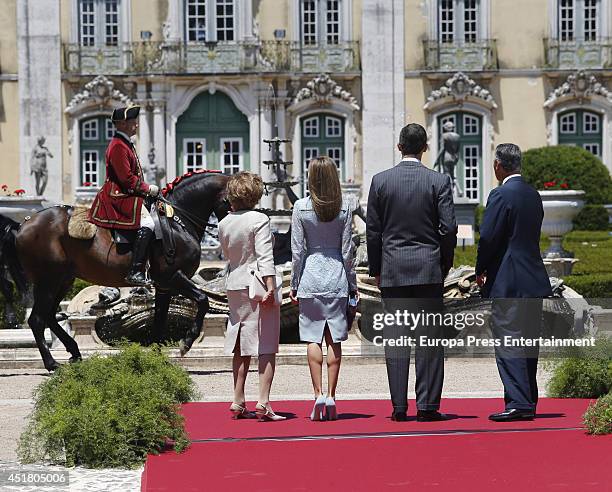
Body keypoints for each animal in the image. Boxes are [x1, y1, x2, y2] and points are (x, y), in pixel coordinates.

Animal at [0, 171, 231, 370]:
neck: (176, 223)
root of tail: (23, 225)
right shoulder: (172, 277)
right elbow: (202, 299)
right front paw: (187, 341)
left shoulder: (164, 286)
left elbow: (160, 320)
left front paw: (157, 357)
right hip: (48, 280)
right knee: (37, 319)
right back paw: (51, 363)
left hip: (62, 280)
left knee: (48, 316)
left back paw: (74, 352)